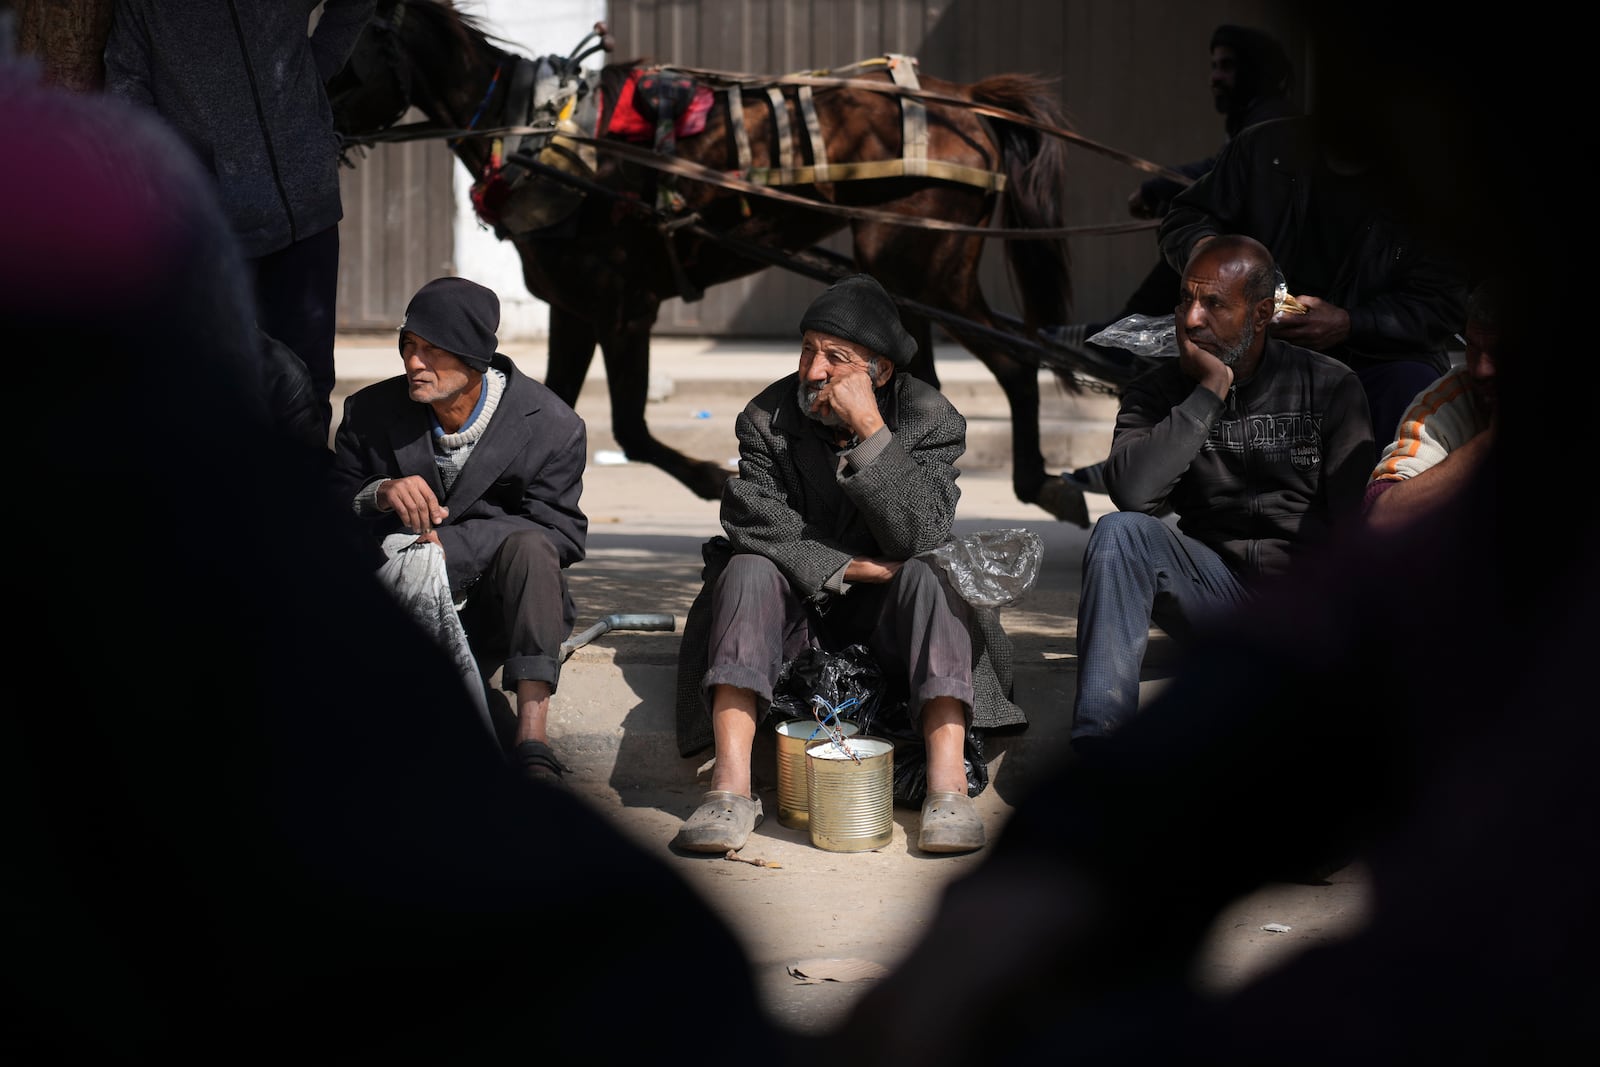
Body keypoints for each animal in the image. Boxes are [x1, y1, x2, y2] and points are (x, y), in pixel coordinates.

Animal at [331, 0, 1094, 518]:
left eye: (352, 52)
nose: (317, 131)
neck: (542, 134)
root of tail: (967, 103)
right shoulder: (574, 309)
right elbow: (557, 408)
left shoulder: (625, 308)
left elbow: (630, 426)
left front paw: (708, 477)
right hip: (910, 286)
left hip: (927, 271)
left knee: (1016, 365)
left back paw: (1040, 485)